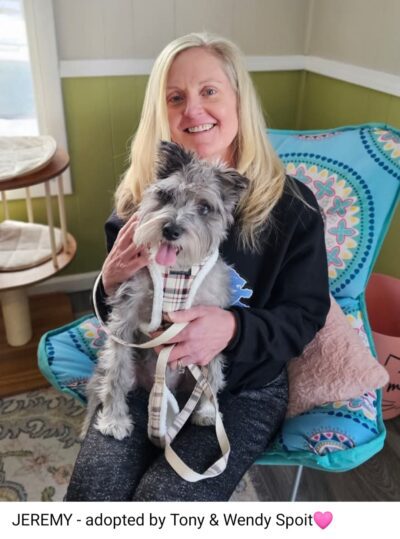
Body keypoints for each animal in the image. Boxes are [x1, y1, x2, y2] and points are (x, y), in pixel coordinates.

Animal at [82, 141, 249, 441]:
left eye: (205, 207)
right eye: (166, 195)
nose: (171, 230)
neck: (177, 270)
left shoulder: (210, 325)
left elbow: (212, 371)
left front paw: (208, 411)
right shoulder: (125, 315)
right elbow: (116, 372)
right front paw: (114, 419)